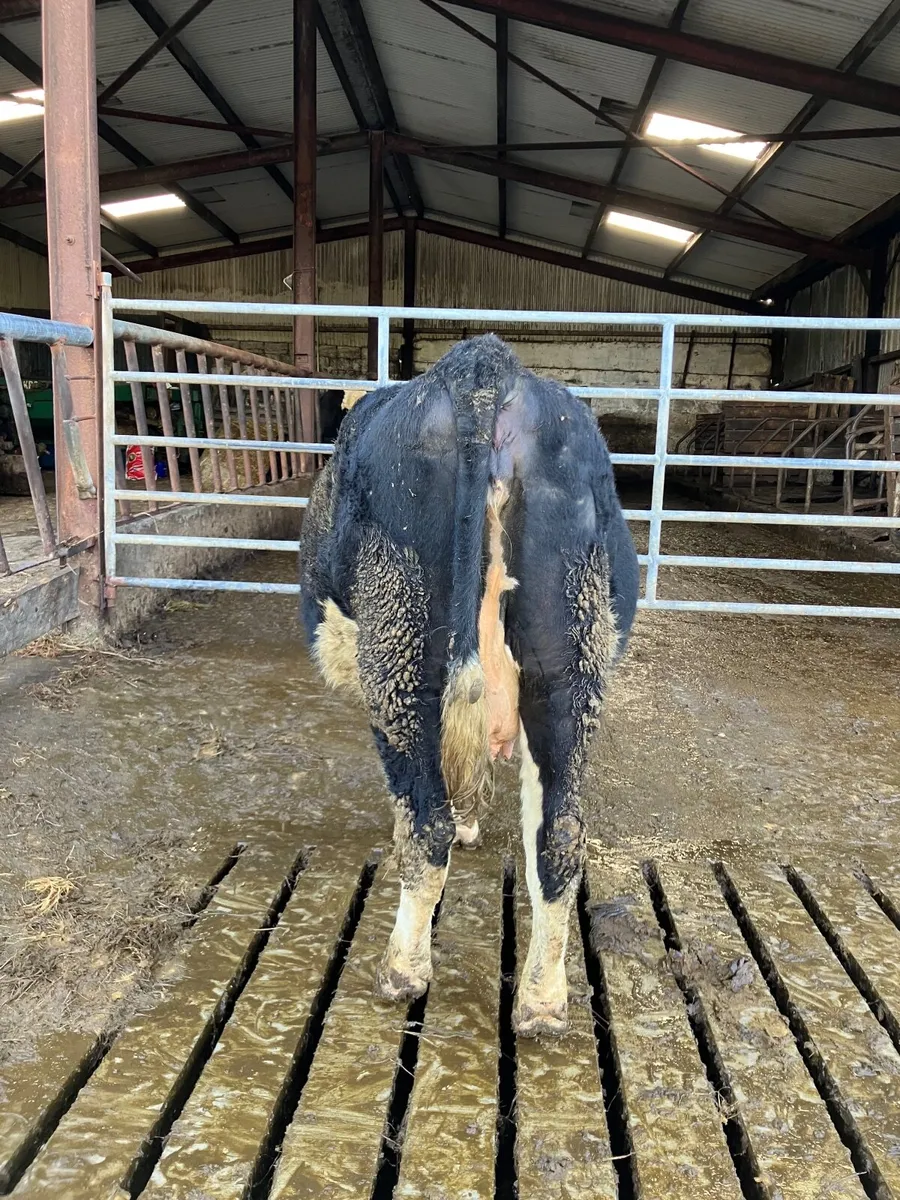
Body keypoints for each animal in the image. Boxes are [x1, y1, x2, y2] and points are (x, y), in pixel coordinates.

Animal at [300, 335, 639, 1036]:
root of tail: (483, 366)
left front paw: (462, 824)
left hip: (399, 645)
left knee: (424, 828)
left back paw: (401, 971)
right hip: (568, 658)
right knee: (558, 837)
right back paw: (542, 1002)